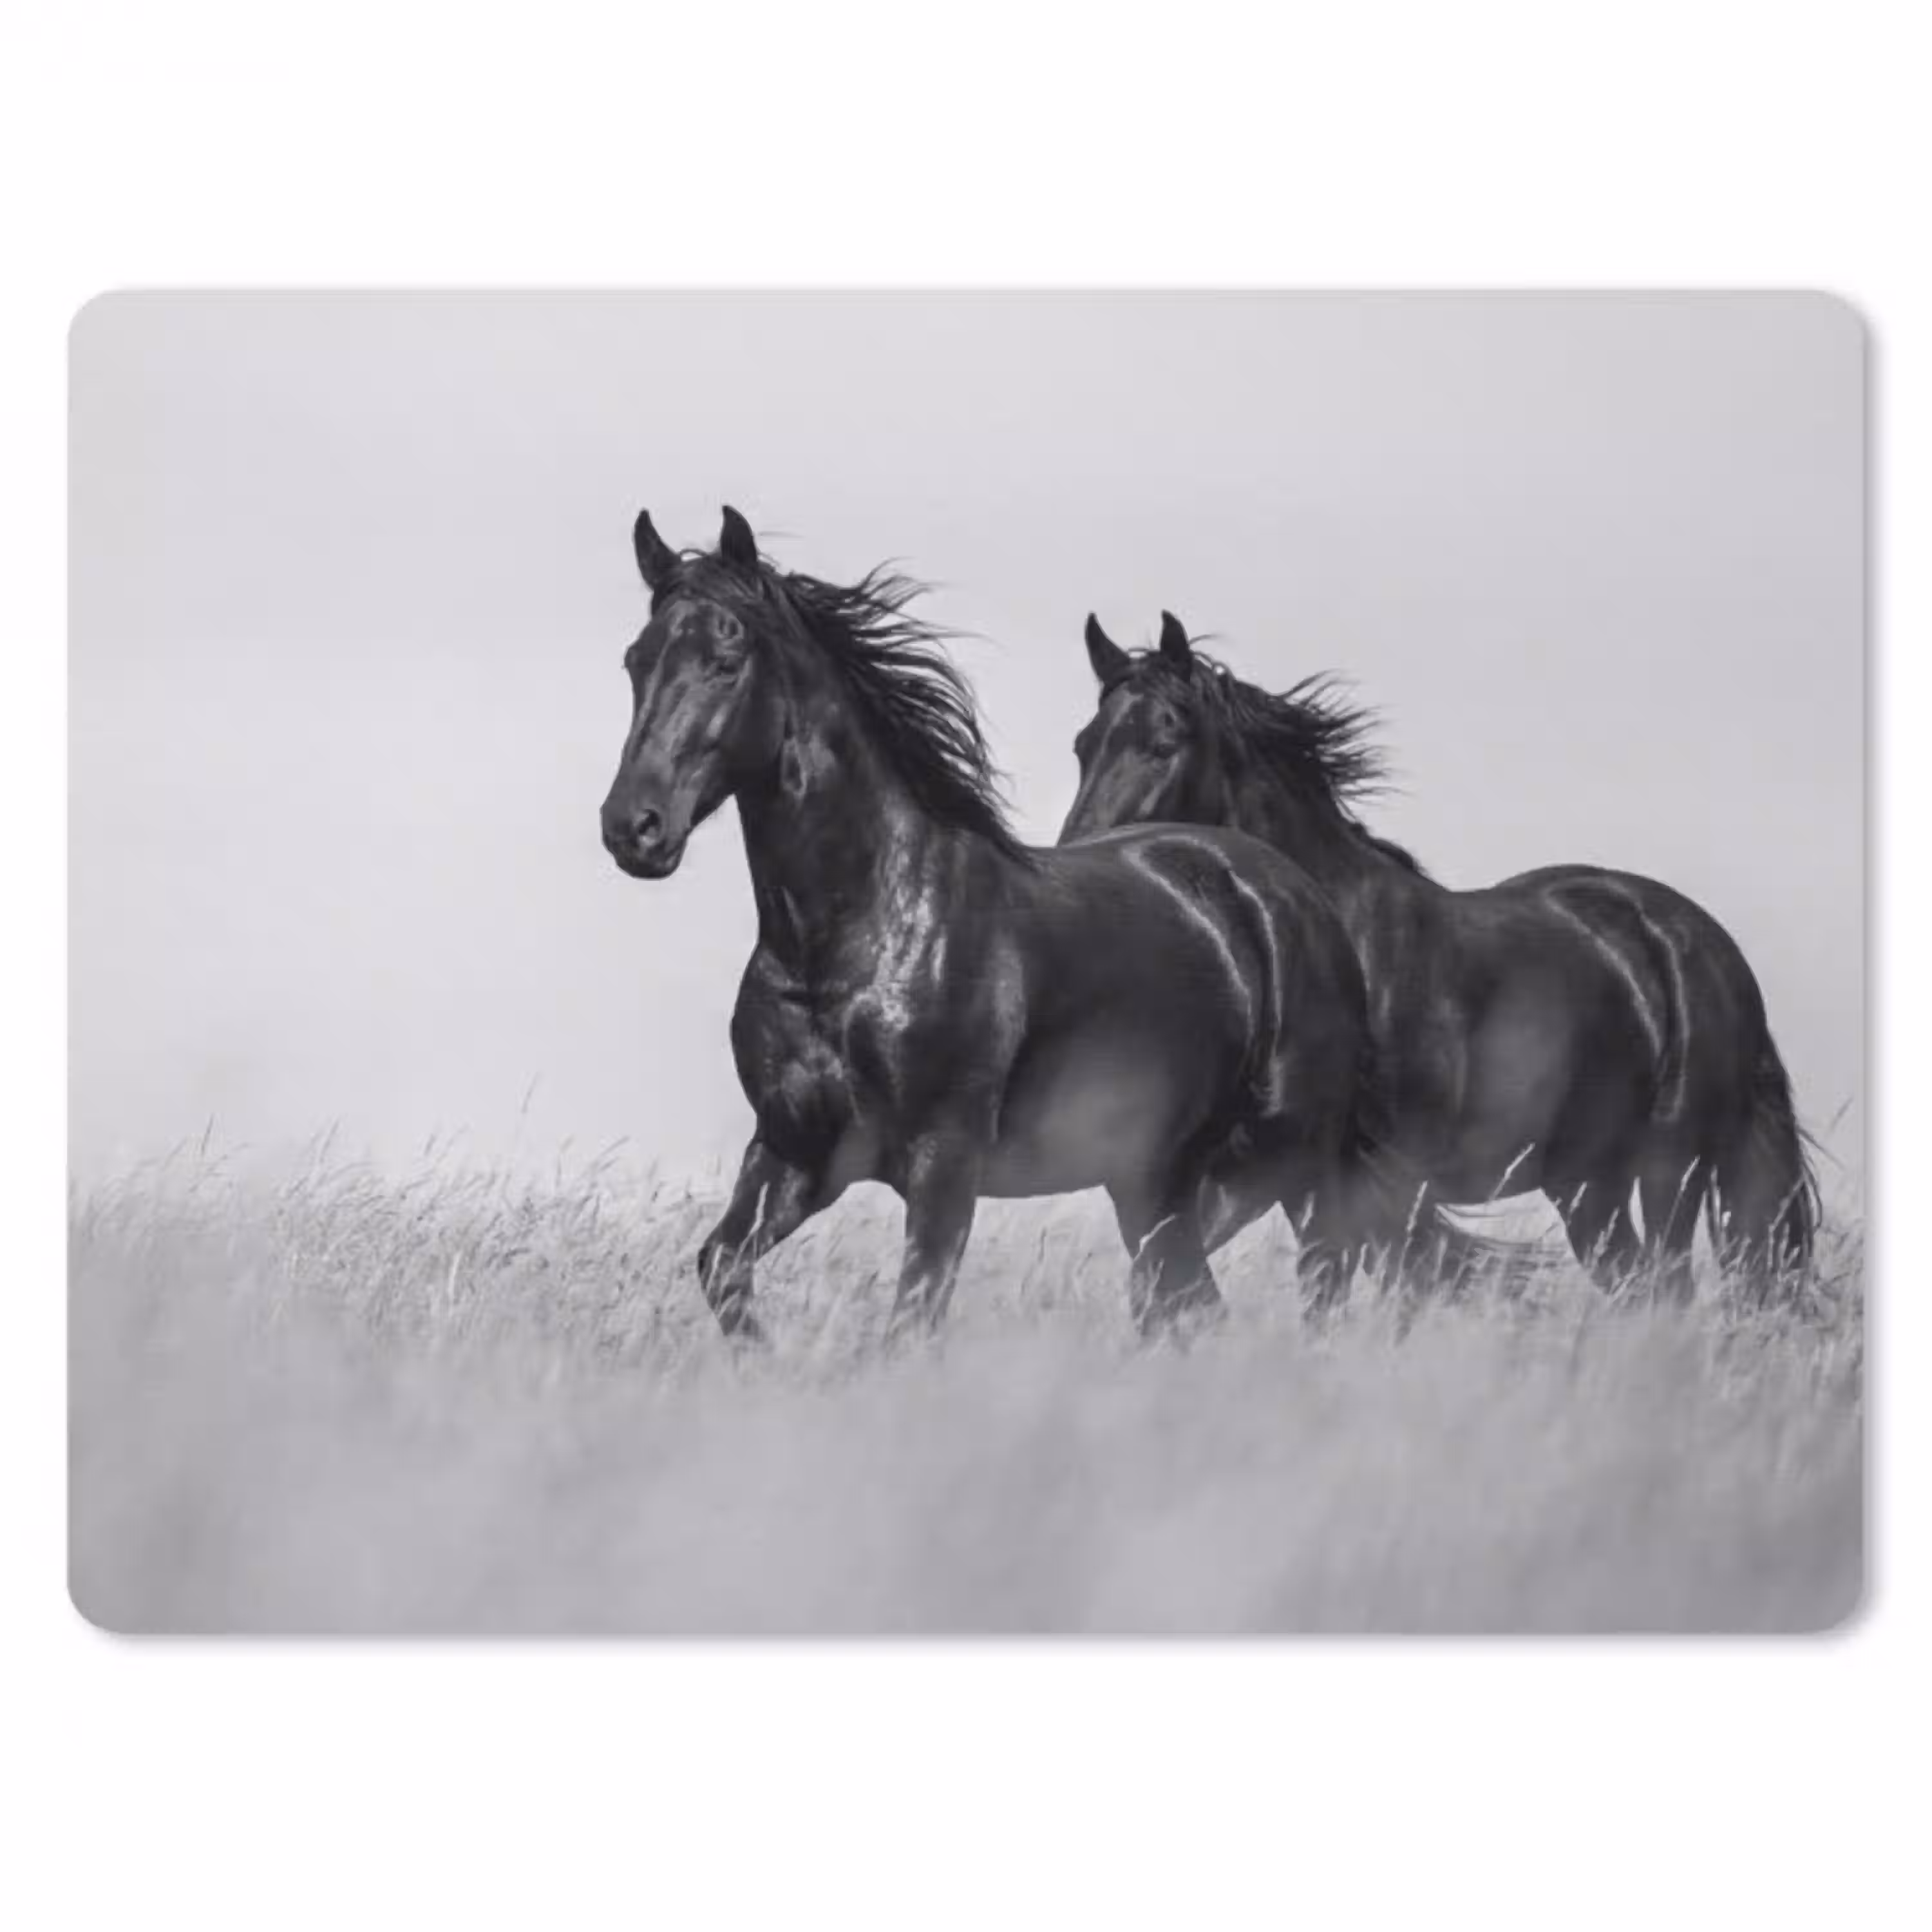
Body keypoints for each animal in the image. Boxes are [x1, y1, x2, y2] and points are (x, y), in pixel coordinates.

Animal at [598, 507, 1472, 1341]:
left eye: (727, 657)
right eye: (637, 660)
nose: (632, 828)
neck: (852, 943)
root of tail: (1298, 899)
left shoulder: (944, 1164)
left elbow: (911, 1322)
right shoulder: (792, 1152)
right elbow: (721, 1268)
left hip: (1294, 1165)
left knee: (1315, 1289)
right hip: (1155, 1181)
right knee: (1184, 1301)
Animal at [1060, 610, 1820, 1301]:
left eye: (1167, 739)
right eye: (1084, 745)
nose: (1083, 859)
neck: (1341, 942)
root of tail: (1705, 943)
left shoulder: (1363, 1182)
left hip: (1671, 1168)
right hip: (1586, 1182)